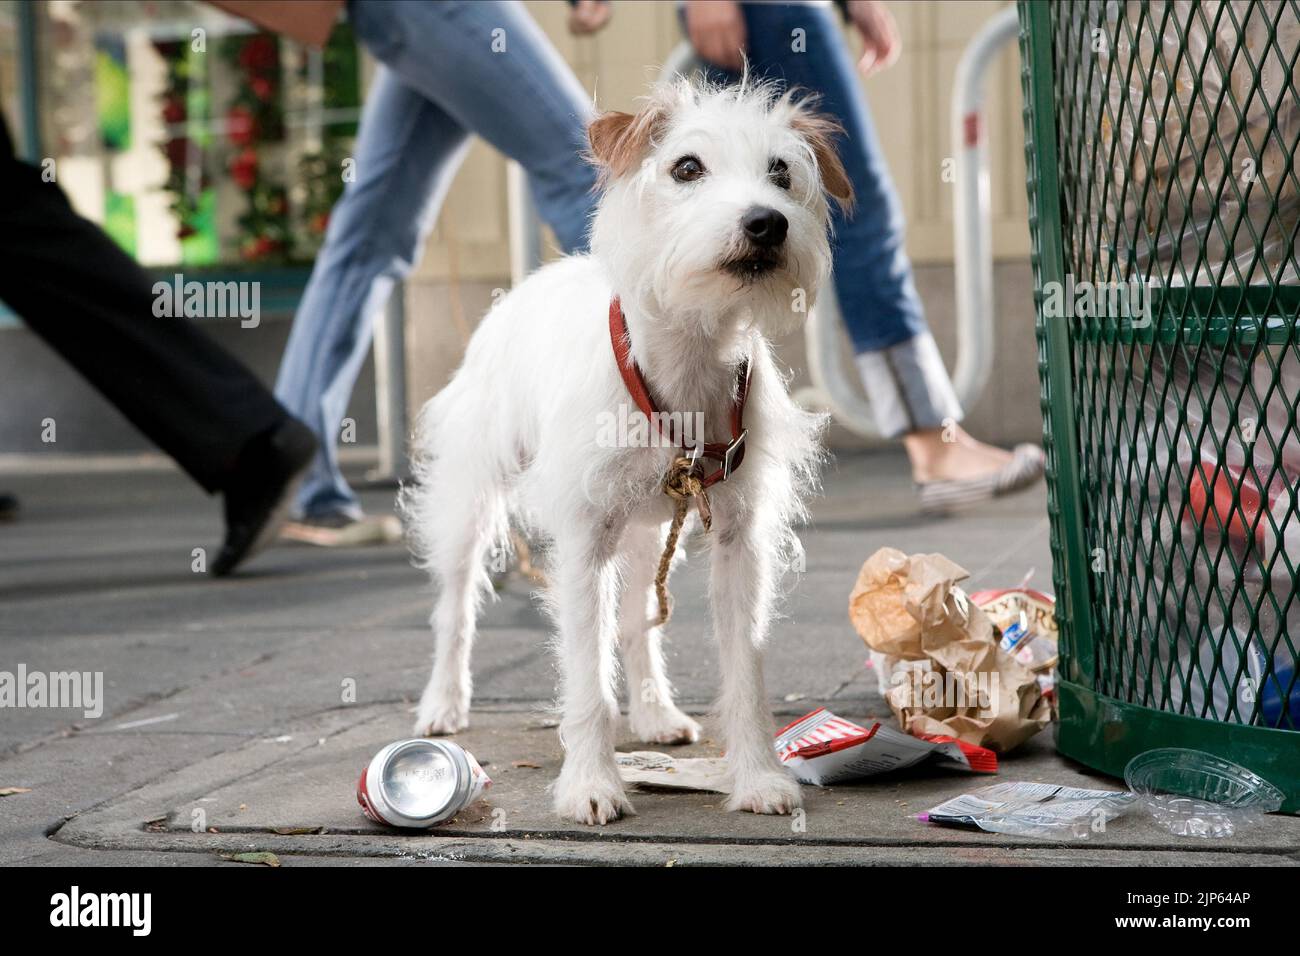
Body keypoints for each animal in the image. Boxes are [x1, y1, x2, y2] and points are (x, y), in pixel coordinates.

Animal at [405, 76, 852, 822]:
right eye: (687, 168)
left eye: (782, 172)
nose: (767, 222)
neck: (686, 355)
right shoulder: (585, 541)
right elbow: (587, 676)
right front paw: (590, 783)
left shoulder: (738, 541)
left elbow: (745, 672)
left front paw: (757, 777)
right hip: (470, 500)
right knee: (454, 604)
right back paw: (443, 702)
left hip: (649, 529)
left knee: (642, 621)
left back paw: (653, 712)